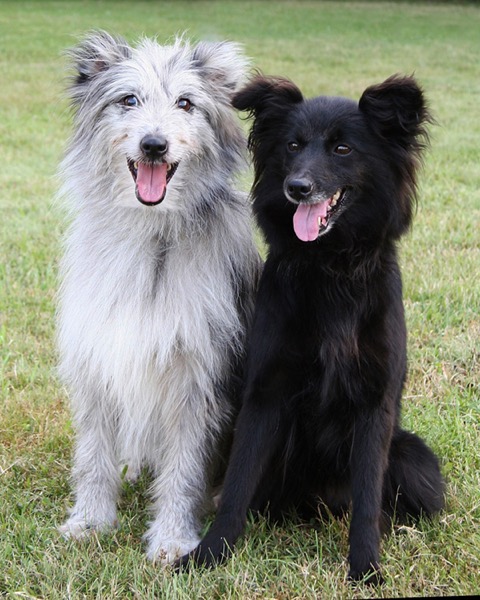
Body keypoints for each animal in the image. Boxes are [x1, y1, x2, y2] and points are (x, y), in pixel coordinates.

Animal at [57, 30, 260, 564]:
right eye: (129, 100)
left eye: (186, 104)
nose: (154, 144)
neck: (151, 232)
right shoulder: (98, 356)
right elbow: (94, 454)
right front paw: (91, 521)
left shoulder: (196, 376)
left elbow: (184, 469)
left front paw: (173, 538)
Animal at [180, 74, 446, 580]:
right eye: (293, 145)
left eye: (342, 149)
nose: (297, 187)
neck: (330, 267)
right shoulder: (264, 395)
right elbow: (238, 483)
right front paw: (209, 553)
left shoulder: (375, 404)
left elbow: (367, 499)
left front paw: (365, 568)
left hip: (413, 456)